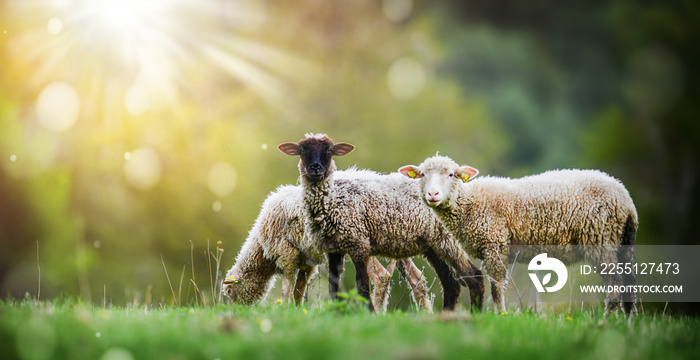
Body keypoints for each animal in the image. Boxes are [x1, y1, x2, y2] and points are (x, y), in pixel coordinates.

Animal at [221, 183, 434, 312]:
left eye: (230, 292)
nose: (238, 313)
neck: (260, 250)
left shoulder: (286, 254)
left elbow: (287, 287)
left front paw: (284, 310)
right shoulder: (306, 263)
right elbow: (299, 290)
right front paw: (297, 311)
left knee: (382, 277)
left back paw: (377, 312)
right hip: (398, 240)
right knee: (416, 278)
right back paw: (426, 314)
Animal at [276, 134, 484, 310]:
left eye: (329, 150)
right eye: (302, 150)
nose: (316, 168)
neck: (334, 200)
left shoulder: (359, 244)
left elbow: (362, 285)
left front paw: (369, 313)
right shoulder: (333, 248)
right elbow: (333, 286)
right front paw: (337, 312)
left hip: (448, 241)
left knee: (474, 276)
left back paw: (476, 314)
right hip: (433, 245)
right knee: (451, 284)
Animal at [400, 153, 640, 314]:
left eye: (451, 174)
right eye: (422, 175)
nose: (433, 194)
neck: (469, 202)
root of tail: (626, 200)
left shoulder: (494, 243)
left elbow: (497, 285)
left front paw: (500, 314)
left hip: (601, 238)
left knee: (615, 284)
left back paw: (607, 319)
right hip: (622, 241)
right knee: (629, 283)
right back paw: (627, 321)